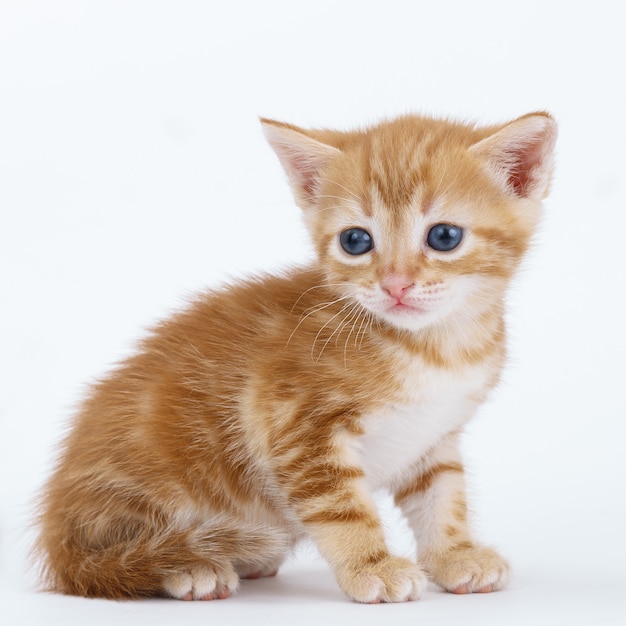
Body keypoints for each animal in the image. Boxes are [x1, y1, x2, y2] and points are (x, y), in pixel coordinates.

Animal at [34, 111, 552, 600]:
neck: (435, 347)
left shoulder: (433, 436)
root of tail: (59, 544)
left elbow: (443, 496)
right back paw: (190, 566)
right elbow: (342, 508)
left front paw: (455, 554)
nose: (395, 285)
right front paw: (371, 567)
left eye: (444, 237)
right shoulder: (296, 427)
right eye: (356, 241)